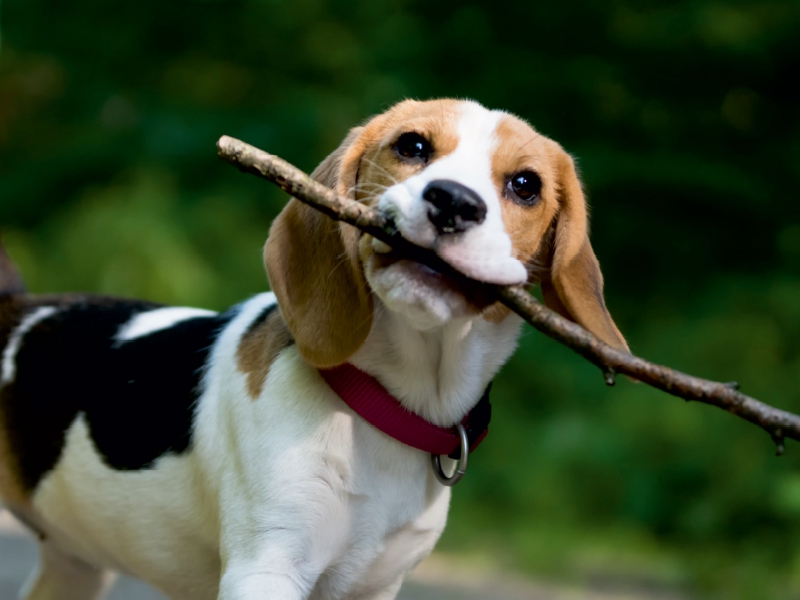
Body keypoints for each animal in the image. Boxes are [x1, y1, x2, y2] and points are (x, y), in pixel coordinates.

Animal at [0, 99, 624, 600]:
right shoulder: (266, 568)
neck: (384, 407)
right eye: (412, 146)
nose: (452, 201)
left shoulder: (376, 586)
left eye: (525, 185)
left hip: (75, 570)